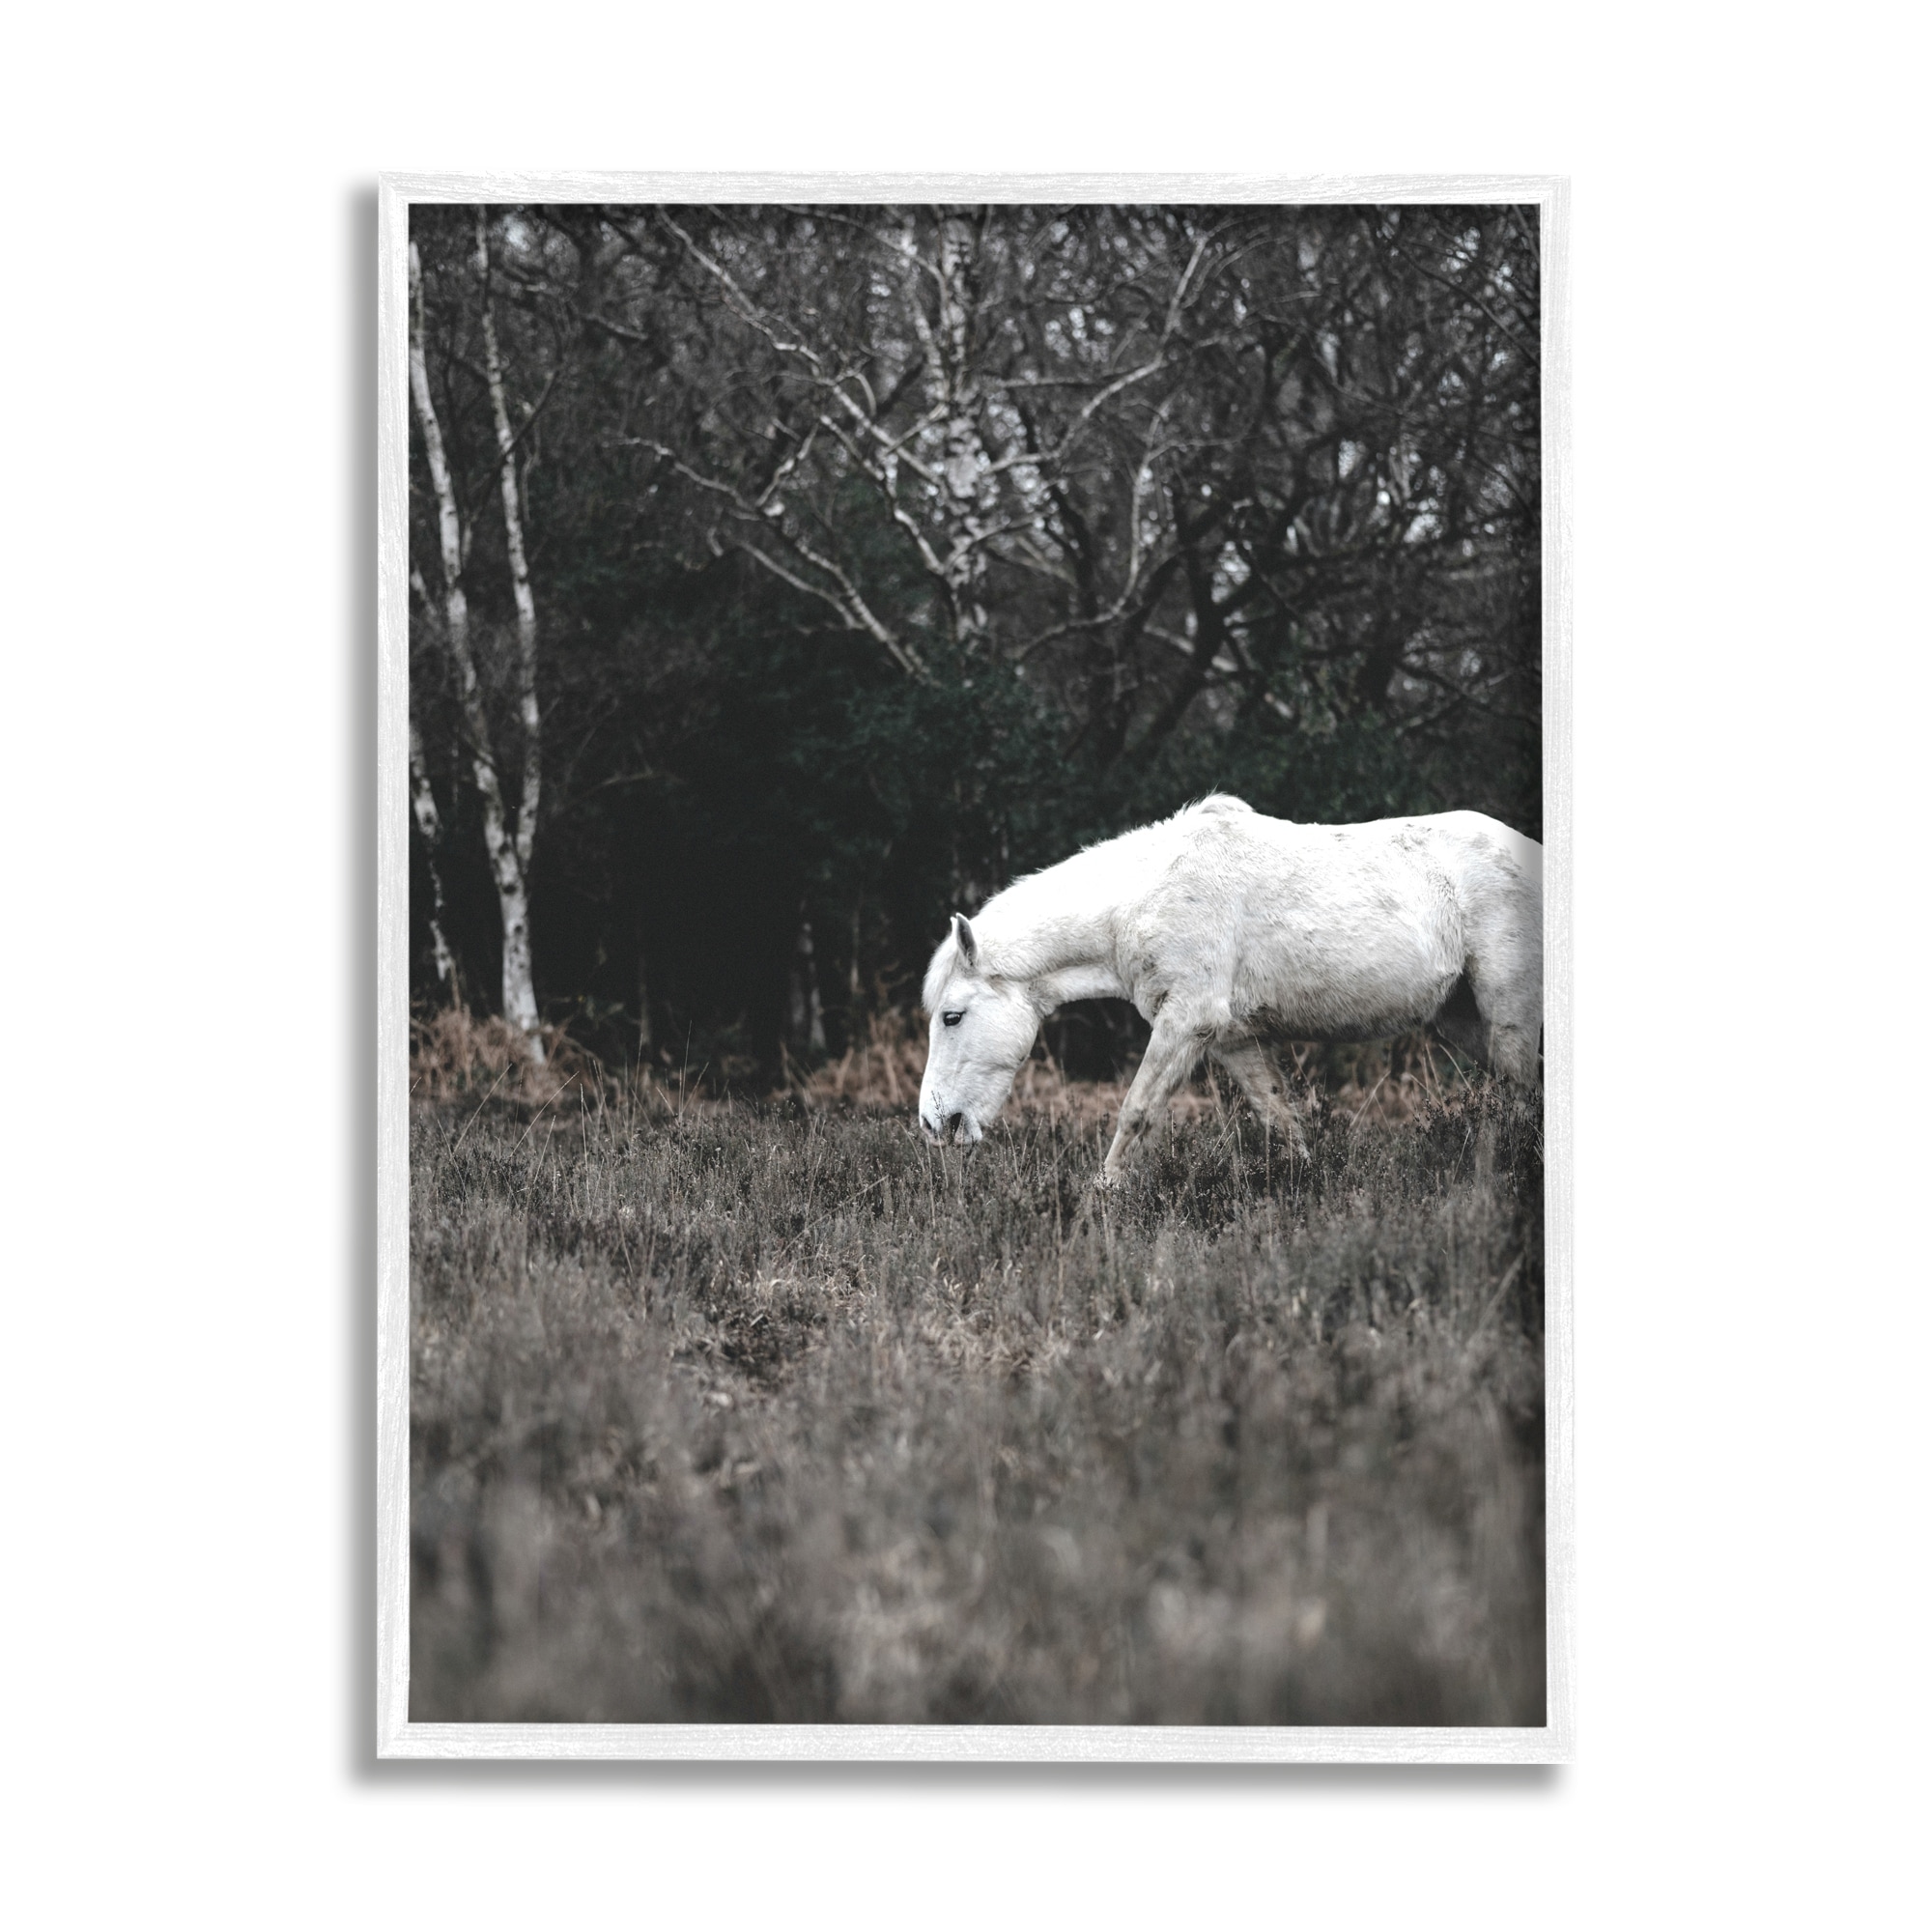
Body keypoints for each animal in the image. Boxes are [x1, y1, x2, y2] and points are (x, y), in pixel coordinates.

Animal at [917, 795, 1542, 1185]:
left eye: (952, 1016)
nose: (933, 1124)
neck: (1142, 897)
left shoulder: (1185, 1023)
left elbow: (1136, 1111)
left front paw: (1103, 1199)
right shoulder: (1232, 1039)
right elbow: (1280, 1118)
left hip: (1507, 1011)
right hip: (1463, 1018)